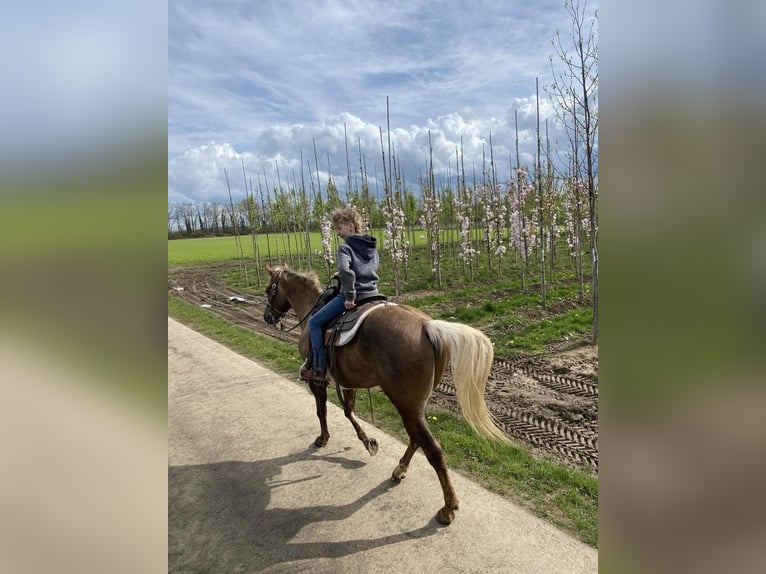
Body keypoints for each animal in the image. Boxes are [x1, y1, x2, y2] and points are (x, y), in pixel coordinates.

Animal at [264, 266, 510, 528]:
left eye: (269, 289)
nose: (267, 317)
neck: (312, 309)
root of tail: (427, 326)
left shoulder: (316, 380)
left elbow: (322, 411)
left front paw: (323, 439)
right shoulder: (349, 382)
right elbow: (348, 411)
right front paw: (368, 442)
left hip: (405, 404)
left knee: (432, 449)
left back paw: (448, 508)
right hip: (414, 405)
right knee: (416, 438)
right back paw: (400, 469)